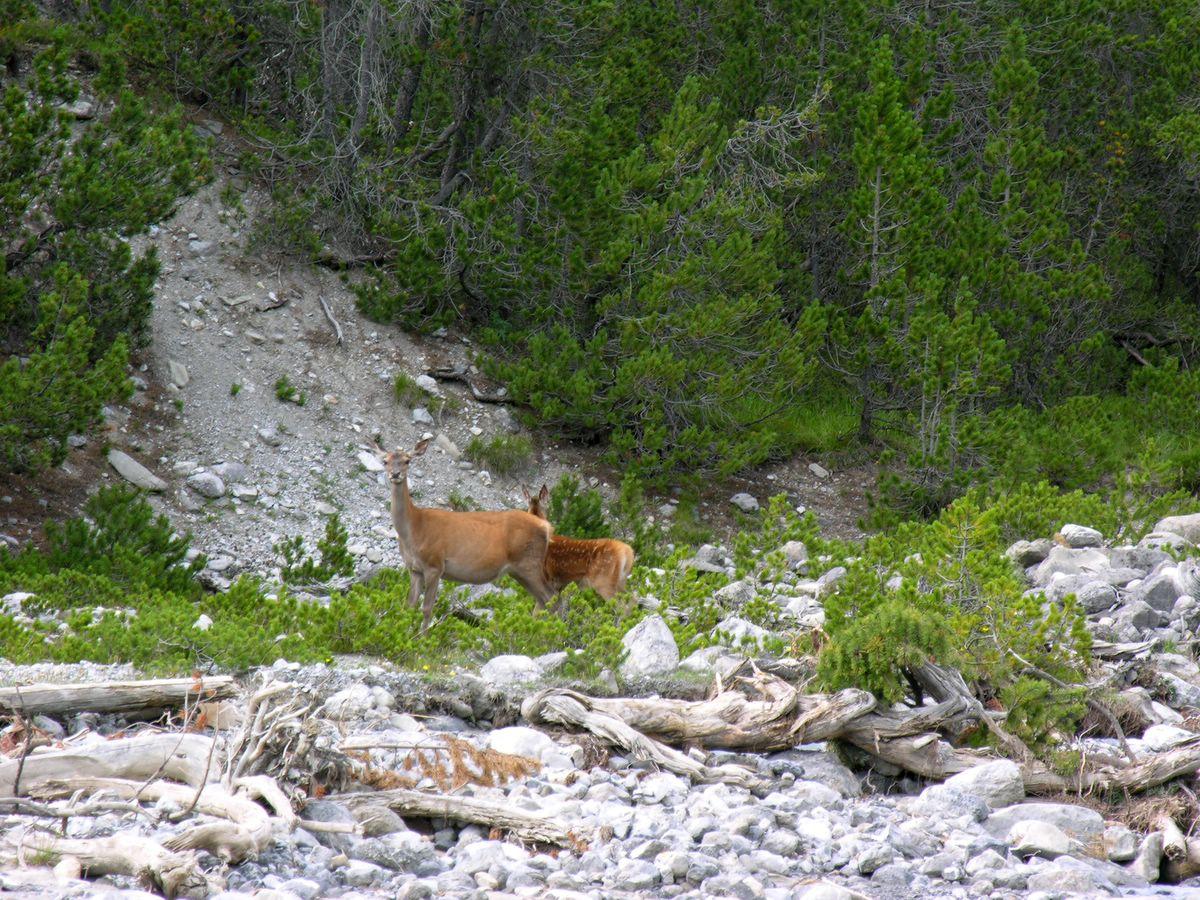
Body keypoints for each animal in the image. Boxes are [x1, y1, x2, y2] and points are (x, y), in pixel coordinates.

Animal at [386, 441, 554, 628]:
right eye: (385, 461)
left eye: (407, 461)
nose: (395, 474)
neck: (415, 527)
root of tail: (546, 526)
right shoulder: (414, 569)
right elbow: (408, 606)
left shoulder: (435, 565)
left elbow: (427, 608)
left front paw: (421, 634)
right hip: (519, 571)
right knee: (544, 600)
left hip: (529, 564)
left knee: (553, 598)